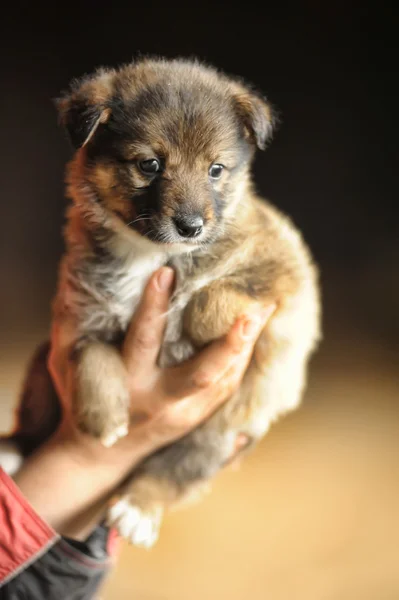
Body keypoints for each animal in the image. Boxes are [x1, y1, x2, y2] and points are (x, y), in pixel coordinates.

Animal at [20, 59, 322, 548]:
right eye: (150, 164)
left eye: (216, 169)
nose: (191, 226)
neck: (150, 254)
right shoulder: (83, 306)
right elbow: (89, 352)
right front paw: (104, 418)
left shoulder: (290, 282)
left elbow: (210, 297)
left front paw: (188, 319)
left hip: (216, 434)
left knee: (175, 472)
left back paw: (137, 511)